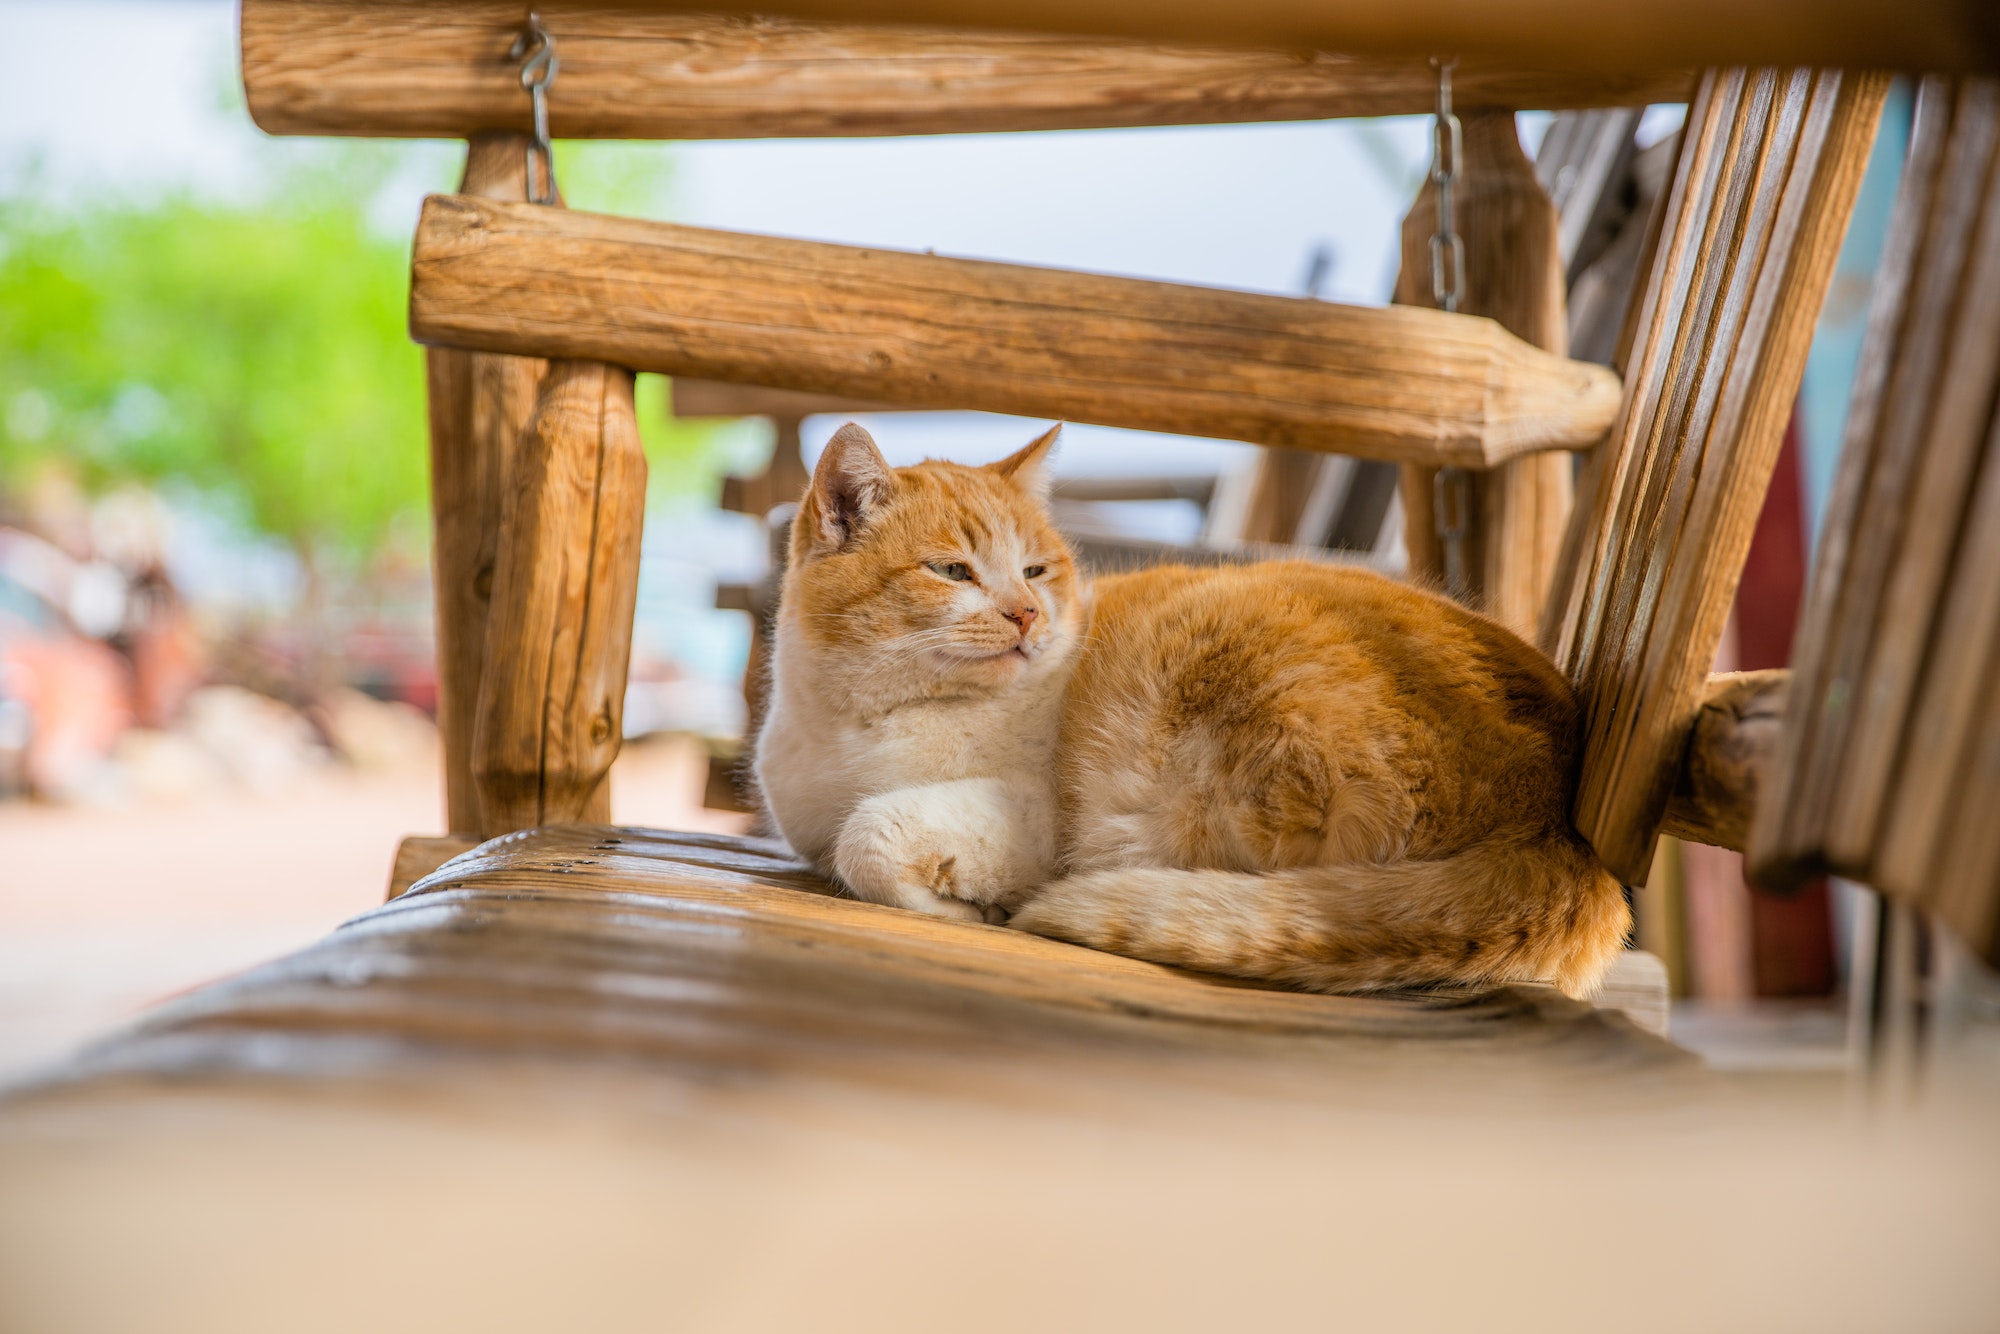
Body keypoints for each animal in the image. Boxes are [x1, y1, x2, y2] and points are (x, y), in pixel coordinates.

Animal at [756, 422, 1632, 996]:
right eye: (951, 571)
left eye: (1035, 570)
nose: (1027, 616)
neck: (853, 726)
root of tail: (1559, 826)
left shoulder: (1032, 818)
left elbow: (868, 838)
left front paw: (963, 904)